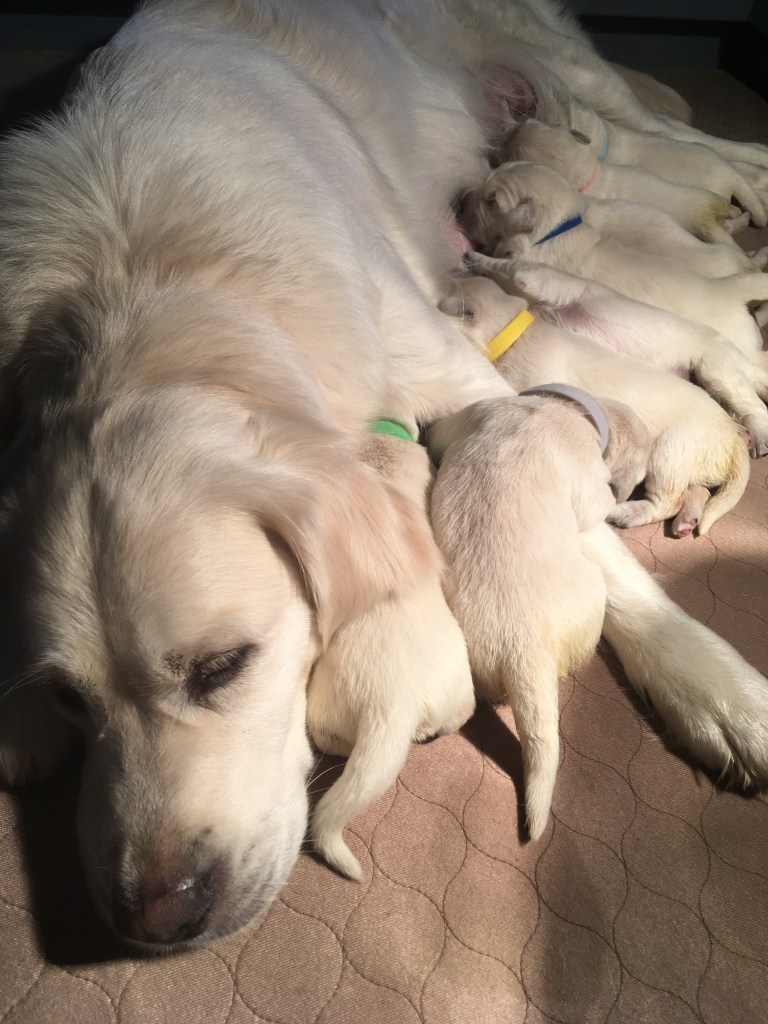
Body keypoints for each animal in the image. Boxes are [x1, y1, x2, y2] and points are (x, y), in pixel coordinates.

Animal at [442, 274, 750, 535]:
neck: (512, 333)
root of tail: (733, 436)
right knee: (698, 491)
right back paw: (686, 521)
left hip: (671, 452)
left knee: (667, 500)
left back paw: (626, 512)